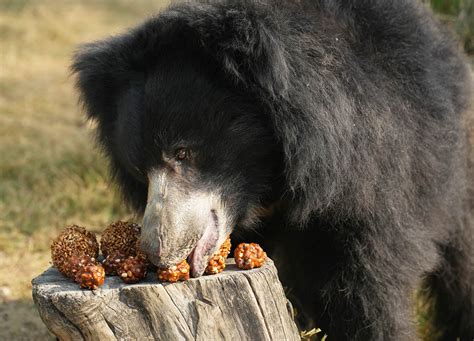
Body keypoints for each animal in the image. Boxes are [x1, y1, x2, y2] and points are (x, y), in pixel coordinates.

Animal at [72, 0, 472, 338]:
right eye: (141, 171)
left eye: (182, 152)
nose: (156, 249)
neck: (265, 178)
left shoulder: (375, 174)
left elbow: (370, 284)